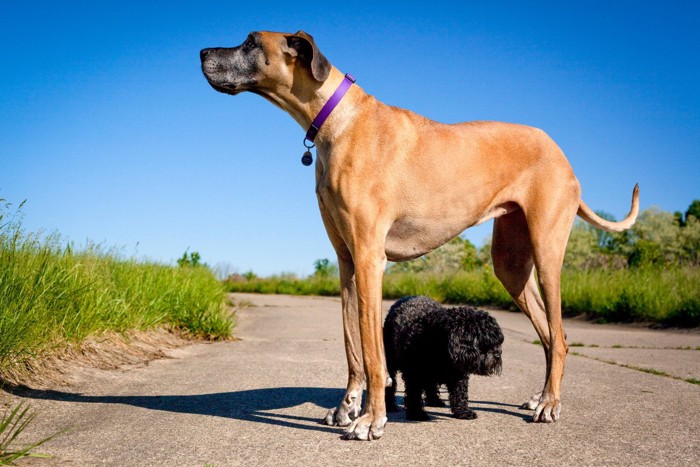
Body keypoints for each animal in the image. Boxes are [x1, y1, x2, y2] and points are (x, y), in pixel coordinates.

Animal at [200, 31, 636, 440]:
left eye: (251, 42)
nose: (202, 53)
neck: (337, 119)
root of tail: (562, 154)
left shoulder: (369, 259)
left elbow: (373, 354)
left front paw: (371, 419)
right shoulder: (346, 262)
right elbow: (352, 347)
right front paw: (347, 407)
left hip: (546, 253)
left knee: (559, 335)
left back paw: (550, 403)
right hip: (511, 265)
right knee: (549, 332)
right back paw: (540, 395)